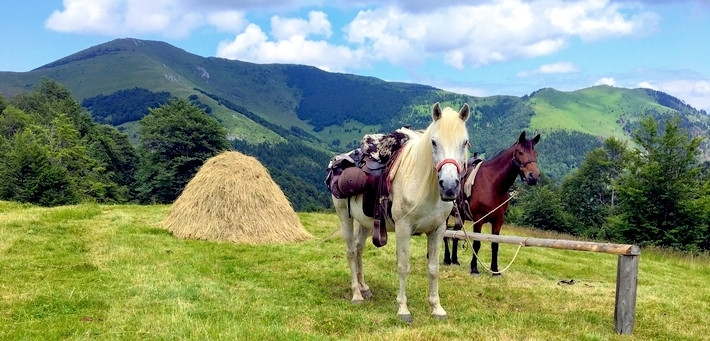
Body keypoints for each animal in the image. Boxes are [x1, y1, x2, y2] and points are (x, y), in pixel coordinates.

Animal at [336, 102, 470, 322]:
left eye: (465, 142)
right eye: (434, 142)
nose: (449, 186)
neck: (423, 186)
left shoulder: (438, 230)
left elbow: (433, 268)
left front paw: (436, 307)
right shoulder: (403, 228)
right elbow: (403, 267)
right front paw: (403, 309)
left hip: (366, 222)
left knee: (359, 249)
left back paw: (364, 288)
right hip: (344, 217)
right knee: (351, 252)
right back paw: (356, 294)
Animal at [448, 131, 544, 274]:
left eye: (536, 154)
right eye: (520, 152)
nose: (534, 176)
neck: (493, 184)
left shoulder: (498, 220)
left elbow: (495, 244)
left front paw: (495, 269)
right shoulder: (478, 219)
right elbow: (477, 243)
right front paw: (474, 268)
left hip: (459, 217)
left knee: (455, 234)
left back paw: (454, 260)